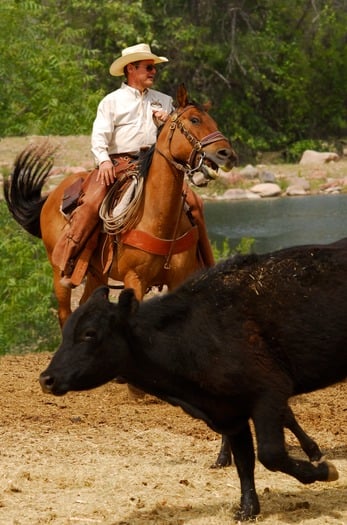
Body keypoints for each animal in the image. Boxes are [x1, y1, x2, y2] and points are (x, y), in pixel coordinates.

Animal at [4, 84, 238, 326]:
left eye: (213, 121)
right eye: (194, 120)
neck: (157, 217)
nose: (227, 154)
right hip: (58, 273)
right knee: (65, 313)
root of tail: (51, 196)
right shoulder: (135, 279)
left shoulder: (178, 278)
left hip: (95, 273)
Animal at [39, 237, 346, 520]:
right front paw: (247, 509)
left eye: (89, 334)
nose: (47, 379)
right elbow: (244, 462)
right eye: (66, 332)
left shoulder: (269, 393)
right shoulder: (230, 413)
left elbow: (270, 454)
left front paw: (324, 470)